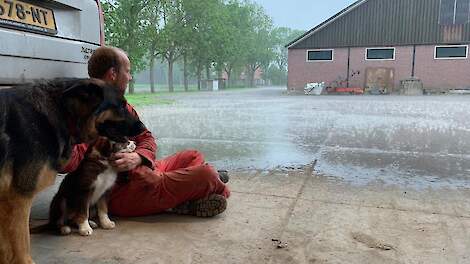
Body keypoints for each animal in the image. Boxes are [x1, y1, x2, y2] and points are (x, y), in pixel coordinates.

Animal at [0, 78, 145, 264]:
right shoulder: (19, 197)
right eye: (120, 105)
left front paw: (104, 223)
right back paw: (67, 227)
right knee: (60, 222)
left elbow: (103, 209)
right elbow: (20, 246)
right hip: (61, 201)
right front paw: (85, 227)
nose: (143, 128)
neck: (64, 114)